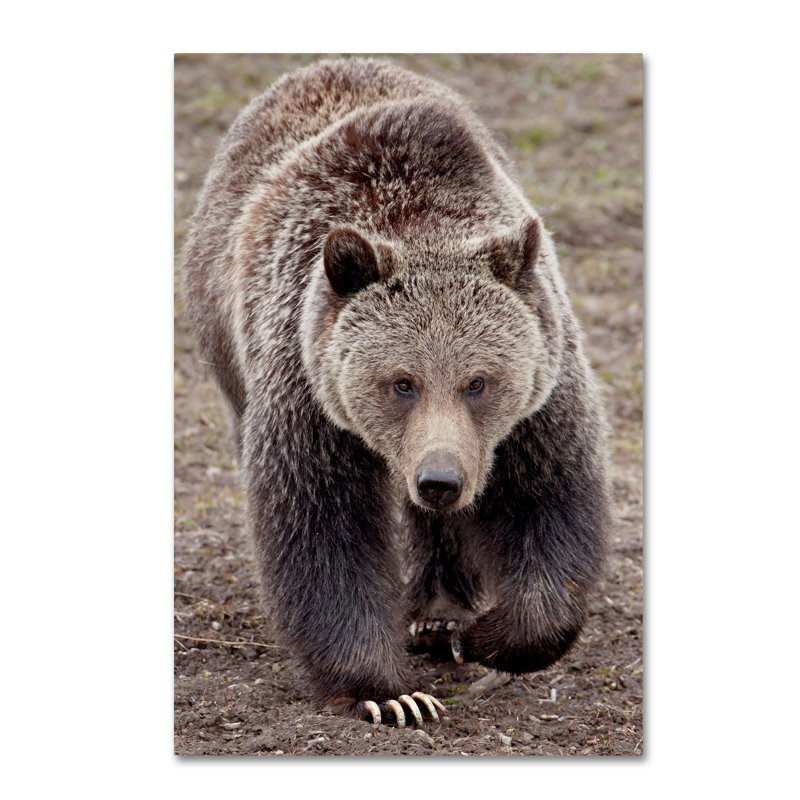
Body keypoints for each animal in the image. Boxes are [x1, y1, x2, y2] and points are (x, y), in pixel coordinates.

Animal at [183, 57, 610, 727]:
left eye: (478, 382)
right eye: (401, 382)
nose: (440, 480)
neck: (420, 220)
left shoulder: (537, 396)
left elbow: (551, 500)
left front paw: (483, 635)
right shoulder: (308, 391)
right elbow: (321, 531)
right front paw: (390, 693)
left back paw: (439, 614)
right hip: (226, 346)